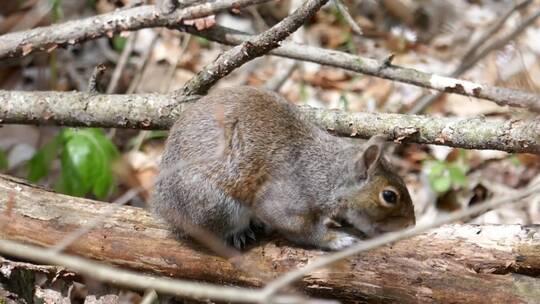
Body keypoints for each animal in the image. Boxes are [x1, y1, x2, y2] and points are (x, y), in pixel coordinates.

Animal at [152, 85, 414, 249]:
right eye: (389, 196)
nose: (411, 225)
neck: (328, 173)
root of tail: (163, 207)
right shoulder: (288, 198)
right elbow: (300, 228)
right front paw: (336, 239)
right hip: (217, 205)